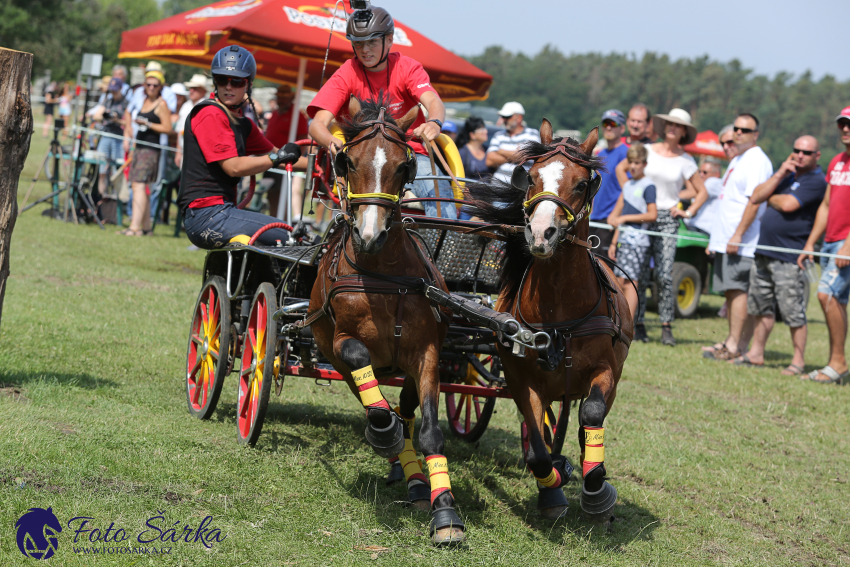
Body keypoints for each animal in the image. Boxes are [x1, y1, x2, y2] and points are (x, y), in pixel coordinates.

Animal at [306, 95, 464, 548]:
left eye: (401, 166)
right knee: (372, 399)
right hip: (333, 355)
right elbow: (369, 386)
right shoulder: (341, 343)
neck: (383, 276)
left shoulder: (427, 353)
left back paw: (414, 478)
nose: (369, 235)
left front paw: (445, 512)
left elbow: (428, 430)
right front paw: (384, 433)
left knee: (406, 410)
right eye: (348, 161)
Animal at [464, 120, 628, 524]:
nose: (540, 234)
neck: (560, 311)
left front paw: (596, 488)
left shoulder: (607, 371)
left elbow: (592, 413)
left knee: (584, 421)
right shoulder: (519, 376)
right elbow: (536, 447)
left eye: (583, 183)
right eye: (532, 176)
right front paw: (552, 488)